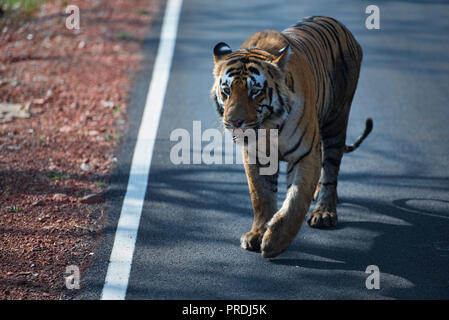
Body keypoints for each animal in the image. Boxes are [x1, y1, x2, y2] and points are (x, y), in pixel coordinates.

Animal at [212, 15, 372, 260]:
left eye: (254, 91)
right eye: (227, 91)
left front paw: (274, 242)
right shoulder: (256, 156)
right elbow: (261, 197)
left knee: (331, 169)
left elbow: (296, 201)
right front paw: (257, 234)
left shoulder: (304, 154)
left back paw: (324, 212)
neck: (268, 126)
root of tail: (341, 25)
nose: (234, 122)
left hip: (336, 120)